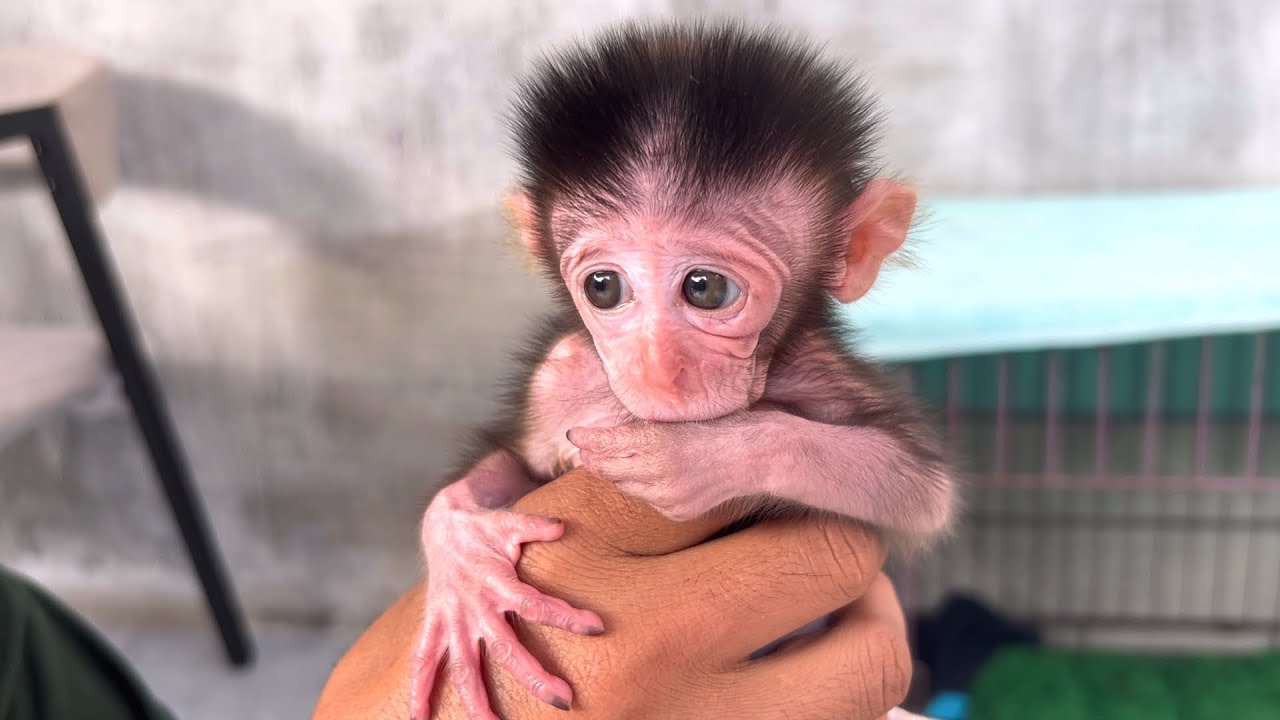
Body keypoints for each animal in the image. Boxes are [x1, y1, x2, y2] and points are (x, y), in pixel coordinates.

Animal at [409, 21, 955, 720]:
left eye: (706, 289)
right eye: (604, 288)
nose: (656, 369)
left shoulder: (820, 371)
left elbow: (920, 491)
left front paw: (697, 457)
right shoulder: (556, 376)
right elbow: (514, 463)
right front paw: (463, 562)